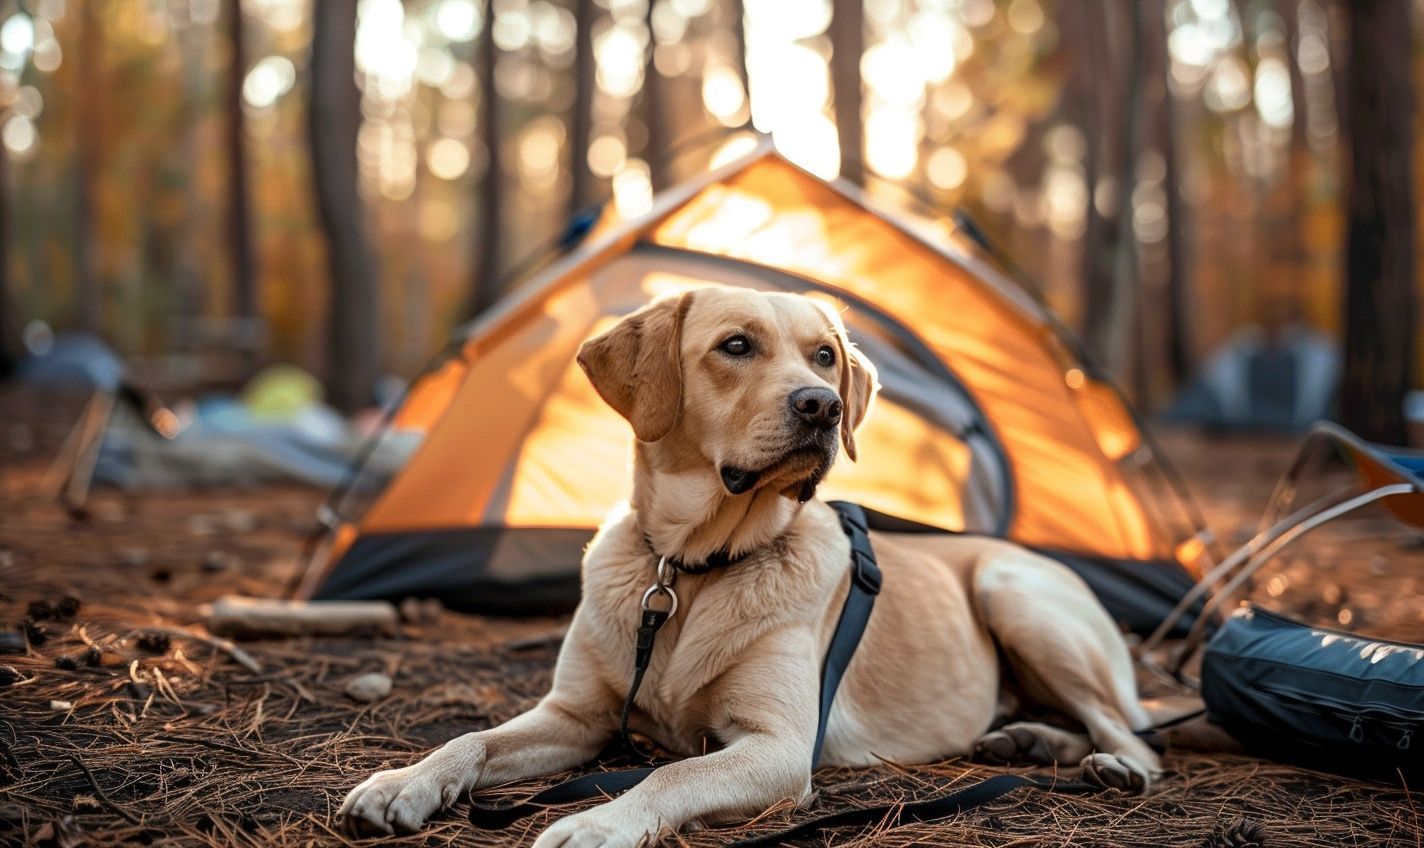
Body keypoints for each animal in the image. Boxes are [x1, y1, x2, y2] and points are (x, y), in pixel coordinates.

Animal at [338, 288, 1161, 842]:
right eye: (736, 346)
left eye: (825, 355)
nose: (825, 405)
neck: (691, 567)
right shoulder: (575, 715)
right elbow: (470, 740)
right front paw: (404, 782)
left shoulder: (779, 747)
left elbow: (672, 769)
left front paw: (600, 824)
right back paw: (1029, 739)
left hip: (1012, 592)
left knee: (1131, 730)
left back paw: (1113, 767)